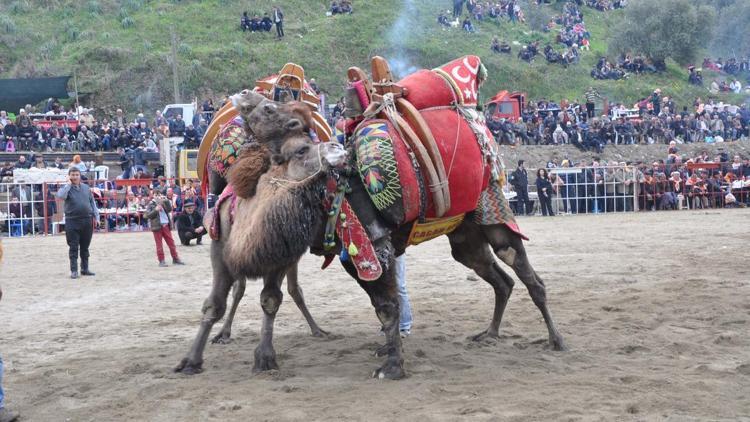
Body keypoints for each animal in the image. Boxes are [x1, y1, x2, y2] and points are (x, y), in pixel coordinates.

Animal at [175, 120, 564, 378]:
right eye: (301, 148)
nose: (337, 152)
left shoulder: (367, 249)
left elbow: (386, 304)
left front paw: (392, 365)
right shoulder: (229, 251)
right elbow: (217, 304)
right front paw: (192, 360)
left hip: (493, 219)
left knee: (529, 277)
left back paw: (556, 340)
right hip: (466, 240)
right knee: (501, 280)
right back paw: (490, 334)